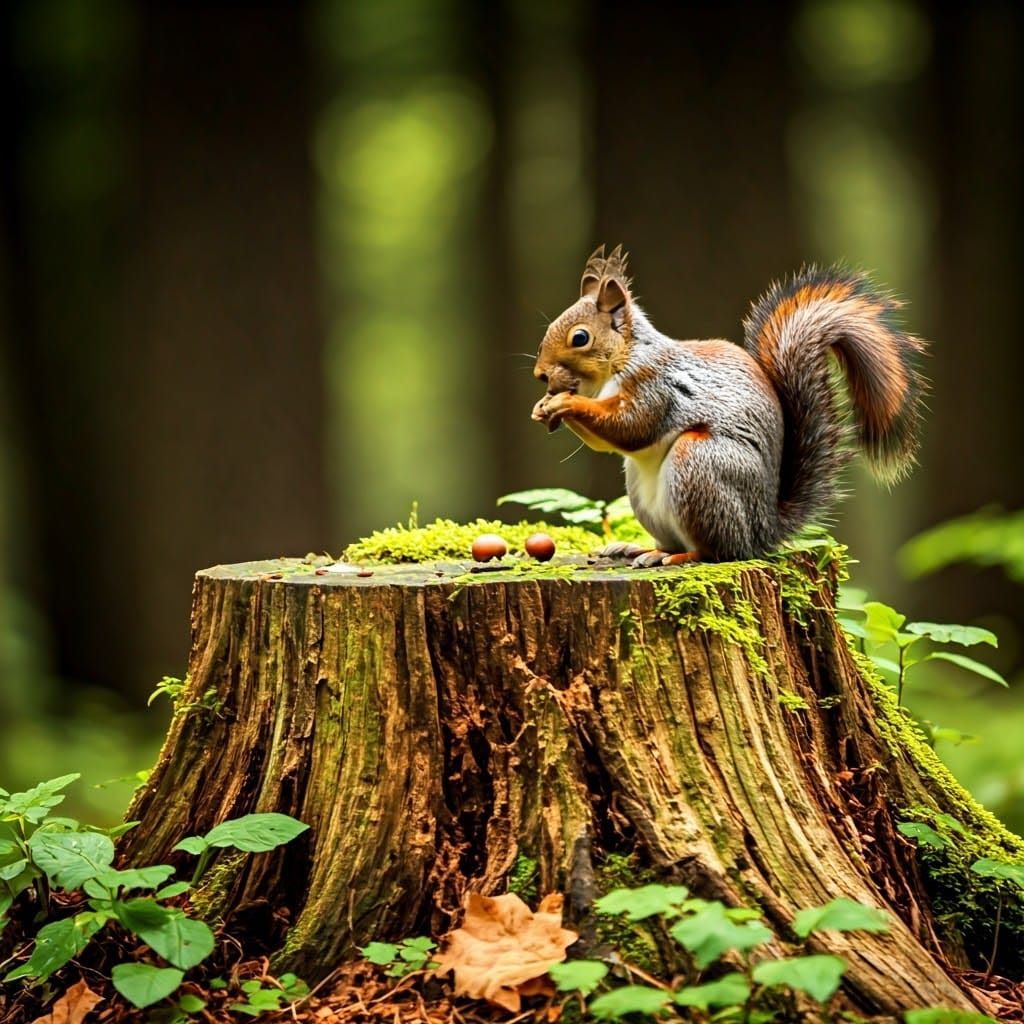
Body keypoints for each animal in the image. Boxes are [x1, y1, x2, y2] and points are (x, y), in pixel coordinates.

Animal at [531, 245, 927, 565]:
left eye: (580, 338)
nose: (540, 374)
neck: (622, 359)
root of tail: (762, 531)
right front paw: (543, 406)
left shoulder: (656, 385)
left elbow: (631, 427)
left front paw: (566, 402)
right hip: (645, 494)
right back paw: (640, 549)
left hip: (699, 464)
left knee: (715, 552)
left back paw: (679, 557)